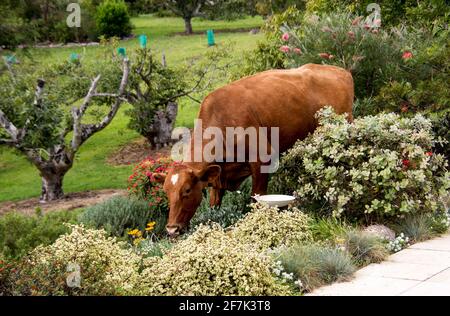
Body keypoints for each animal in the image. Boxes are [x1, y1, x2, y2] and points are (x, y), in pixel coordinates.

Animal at [155, 63, 356, 235]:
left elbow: (256, 199)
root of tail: (341, 71)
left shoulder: (262, 160)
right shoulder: (218, 176)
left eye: (187, 190)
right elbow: (214, 204)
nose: (171, 229)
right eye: (166, 192)